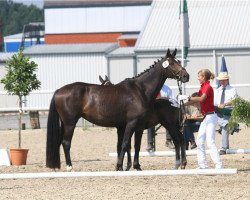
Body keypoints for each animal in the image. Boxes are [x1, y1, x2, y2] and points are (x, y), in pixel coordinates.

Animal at [46, 48, 188, 170]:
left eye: (179, 61)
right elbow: (125, 144)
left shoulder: (137, 126)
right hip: (70, 123)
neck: (140, 90)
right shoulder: (131, 123)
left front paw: (135, 166)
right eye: (171, 63)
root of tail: (59, 90)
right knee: (66, 143)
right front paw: (120, 166)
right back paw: (70, 167)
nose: (186, 76)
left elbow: (133, 146)